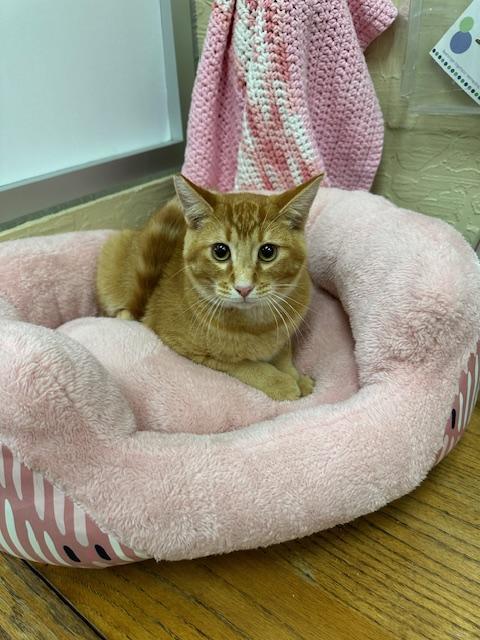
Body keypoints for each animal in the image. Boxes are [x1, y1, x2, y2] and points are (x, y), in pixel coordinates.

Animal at [96, 174, 322, 400]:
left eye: (268, 252)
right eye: (220, 251)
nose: (244, 288)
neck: (256, 325)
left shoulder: (285, 330)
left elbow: (283, 351)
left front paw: (296, 376)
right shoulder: (189, 349)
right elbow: (244, 364)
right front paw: (279, 381)